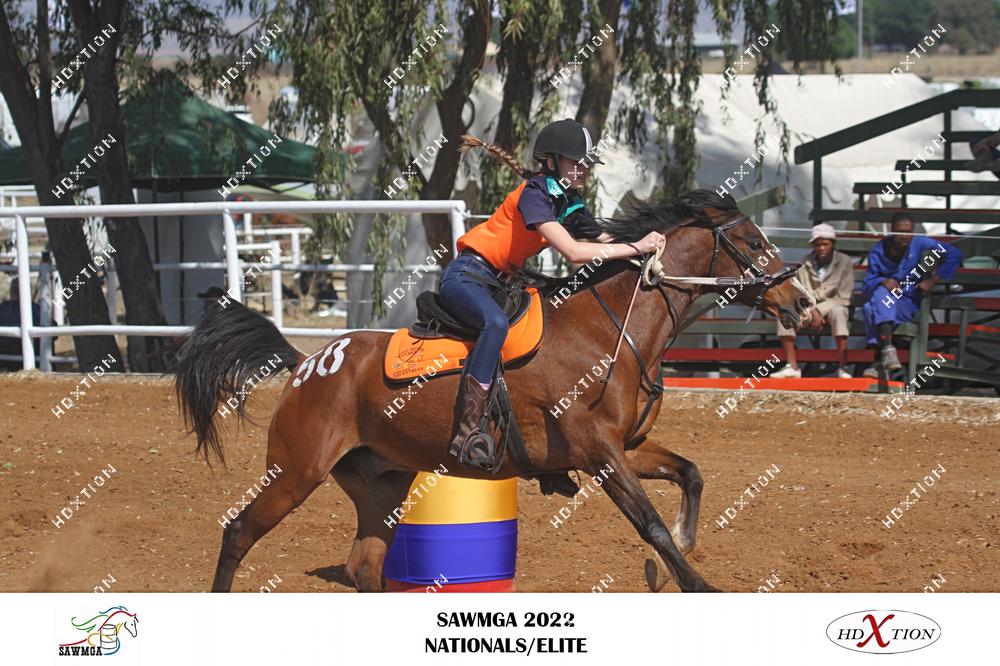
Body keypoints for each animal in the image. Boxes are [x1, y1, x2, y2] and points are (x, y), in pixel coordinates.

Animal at [173, 189, 813, 593]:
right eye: (752, 241)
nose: (803, 301)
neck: (611, 329)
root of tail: (308, 362)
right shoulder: (601, 454)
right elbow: (649, 523)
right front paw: (697, 581)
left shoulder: (624, 449)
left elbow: (690, 474)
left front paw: (680, 548)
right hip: (294, 472)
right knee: (237, 534)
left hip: (380, 482)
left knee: (365, 568)